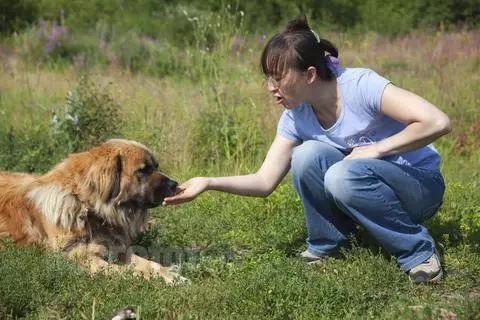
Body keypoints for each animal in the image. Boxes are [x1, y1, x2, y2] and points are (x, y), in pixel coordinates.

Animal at [0, 139, 187, 284]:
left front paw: (171, 275)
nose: (175, 184)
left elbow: (149, 263)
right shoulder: (80, 256)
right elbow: (128, 271)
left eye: (156, 166)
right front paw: (158, 279)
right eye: (143, 170)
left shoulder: (119, 248)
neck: (88, 207)